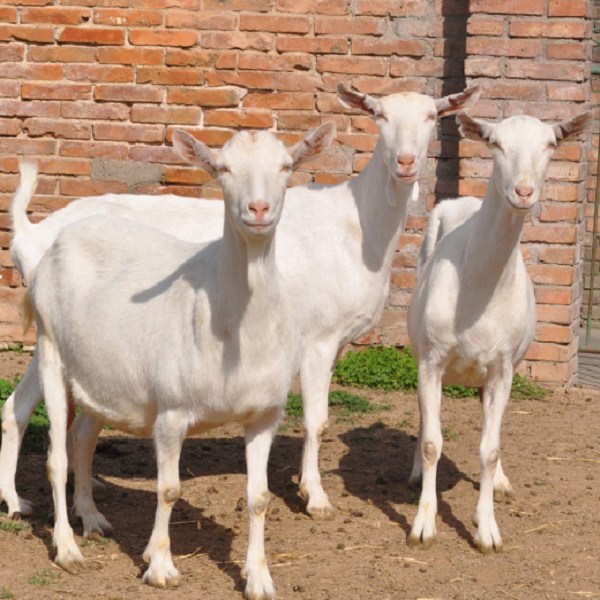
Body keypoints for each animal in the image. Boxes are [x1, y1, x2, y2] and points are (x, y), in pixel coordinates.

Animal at [0, 83, 482, 524]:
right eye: (379, 116)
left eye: (432, 116)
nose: (406, 163)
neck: (358, 227)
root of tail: (31, 234)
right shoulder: (318, 338)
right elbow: (317, 420)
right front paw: (315, 496)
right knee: (19, 407)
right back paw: (22, 501)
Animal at [26, 122, 335, 598]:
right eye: (223, 168)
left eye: (287, 166)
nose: (258, 208)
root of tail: (66, 233)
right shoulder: (171, 411)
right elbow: (168, 490)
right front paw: (161, 567)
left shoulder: (265, 414)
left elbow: (259, 498)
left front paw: (259, 577)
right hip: (50, 346)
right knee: (57, 455)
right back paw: (67, 548)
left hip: (100, 371)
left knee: (83, 435)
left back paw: (91, 517)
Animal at [406, 110, 592, 553]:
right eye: (495, 143)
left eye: (550, 145)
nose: (523, 192)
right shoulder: (431, 360)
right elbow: (433, 442)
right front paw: (423, 524)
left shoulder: (503, 368)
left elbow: (489, 449)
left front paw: (487, 530)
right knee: (424, 417)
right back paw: (416, 473)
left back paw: (503, 481)